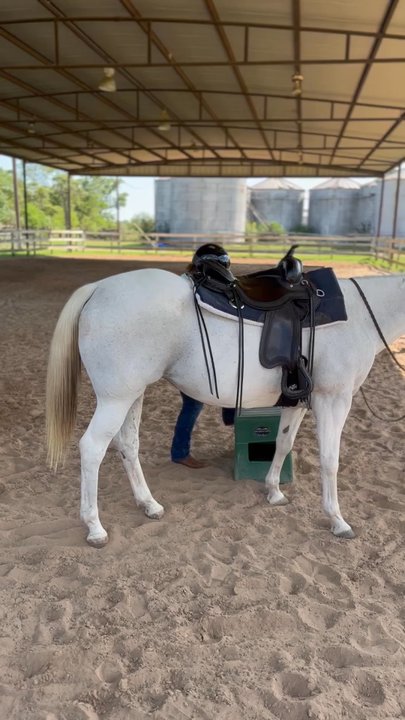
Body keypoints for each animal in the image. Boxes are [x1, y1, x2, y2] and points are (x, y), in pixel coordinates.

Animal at [46, 266, 405, 546]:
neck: (360, 315)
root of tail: (97, 288)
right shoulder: (334, 399)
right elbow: (330, 461)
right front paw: (337, 520)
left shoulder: (298, 402)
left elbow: (283, 443)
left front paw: (274, 491)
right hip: (115, 400)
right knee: (93, 448)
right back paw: (95, 527)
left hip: (132, 395)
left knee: (128, 445)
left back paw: (149, 504)